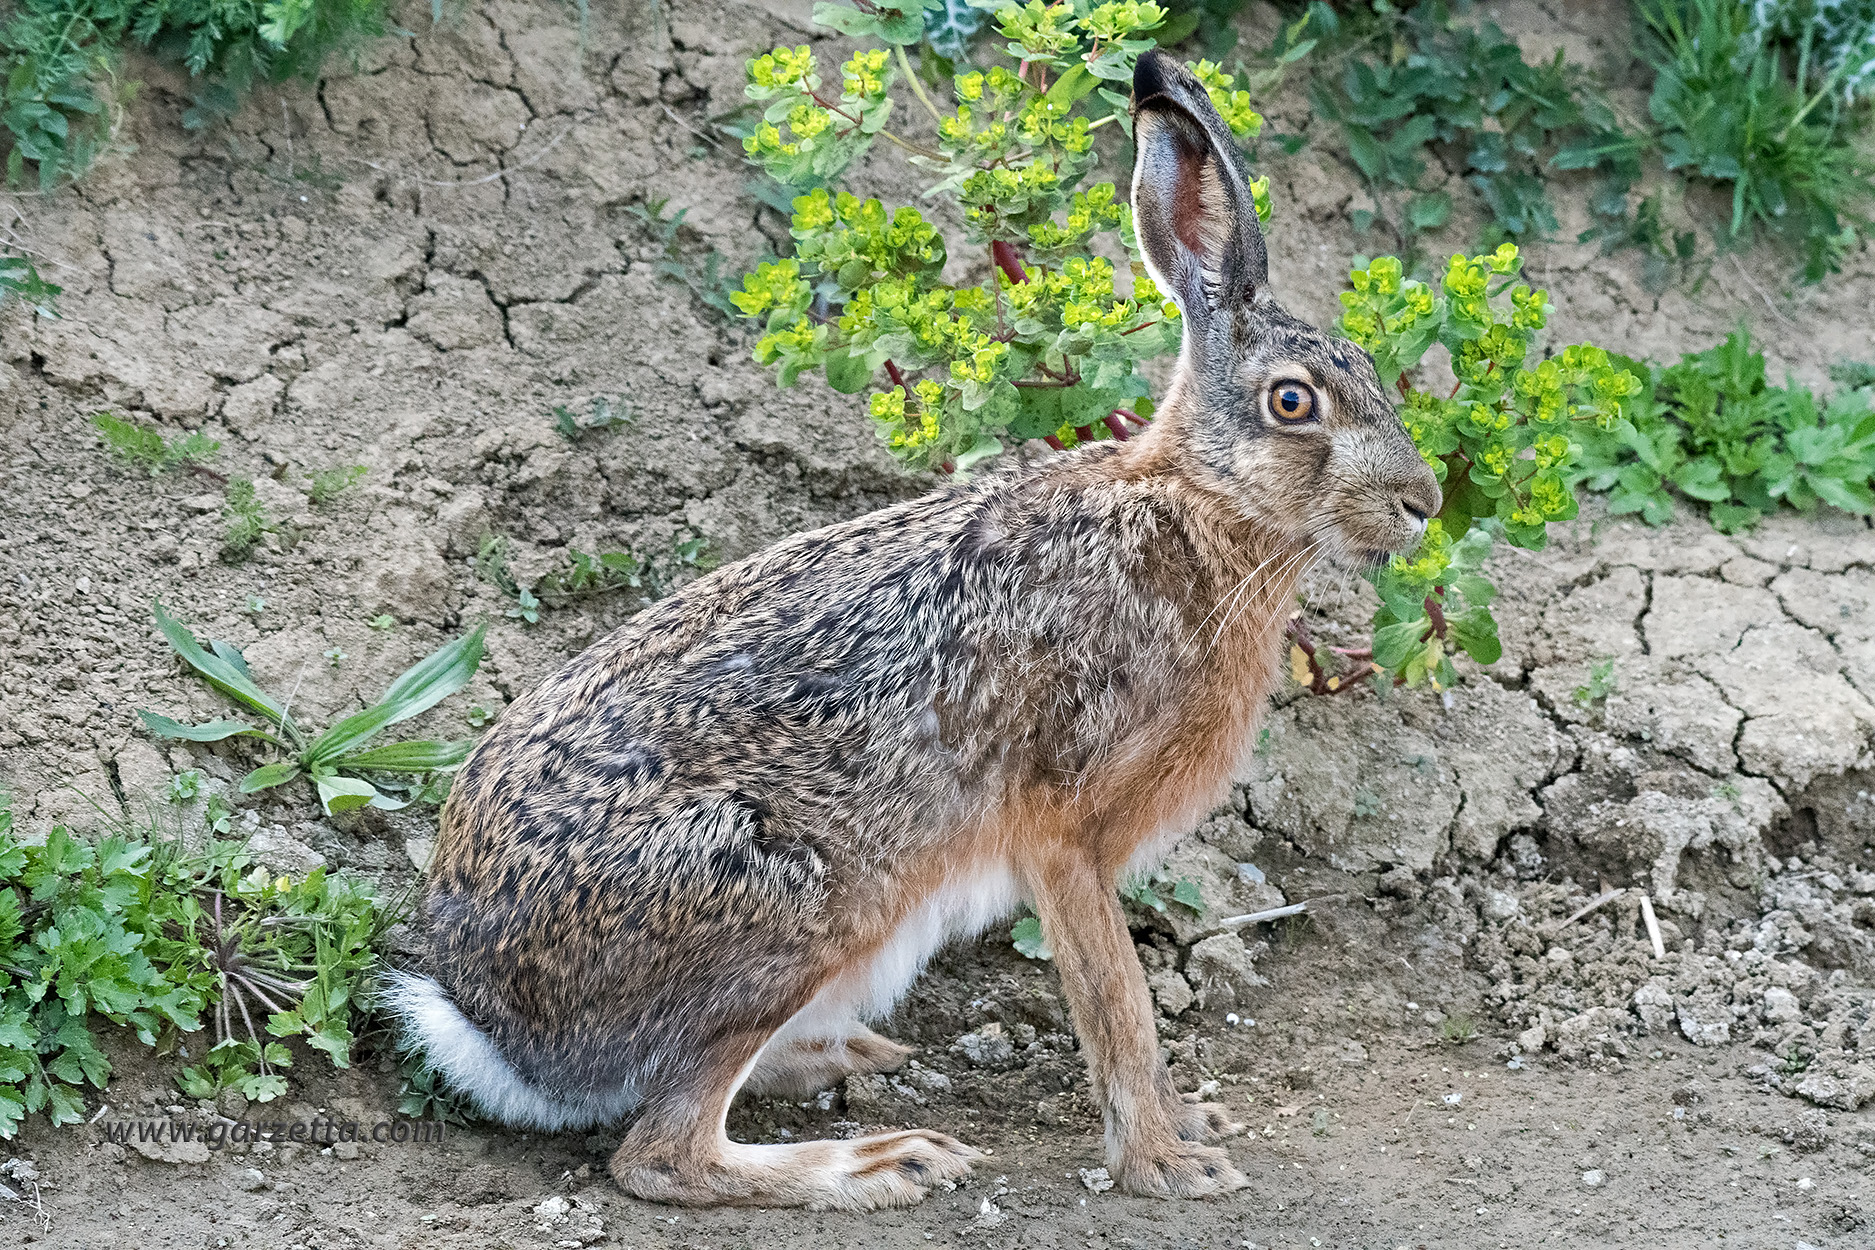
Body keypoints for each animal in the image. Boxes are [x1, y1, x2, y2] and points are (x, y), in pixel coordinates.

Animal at [384, 48, 1441, 1212]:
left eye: (1370, 374)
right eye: (1293, 403)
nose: (1425, 502)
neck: (1198, 507)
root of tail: (491, 1022)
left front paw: (1188, 1123)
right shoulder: (1066, 832)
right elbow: (1118, 1002)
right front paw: (1167, 1162)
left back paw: (852, 1060)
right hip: (795, 901)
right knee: (662, 1151)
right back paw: (886, 1160)